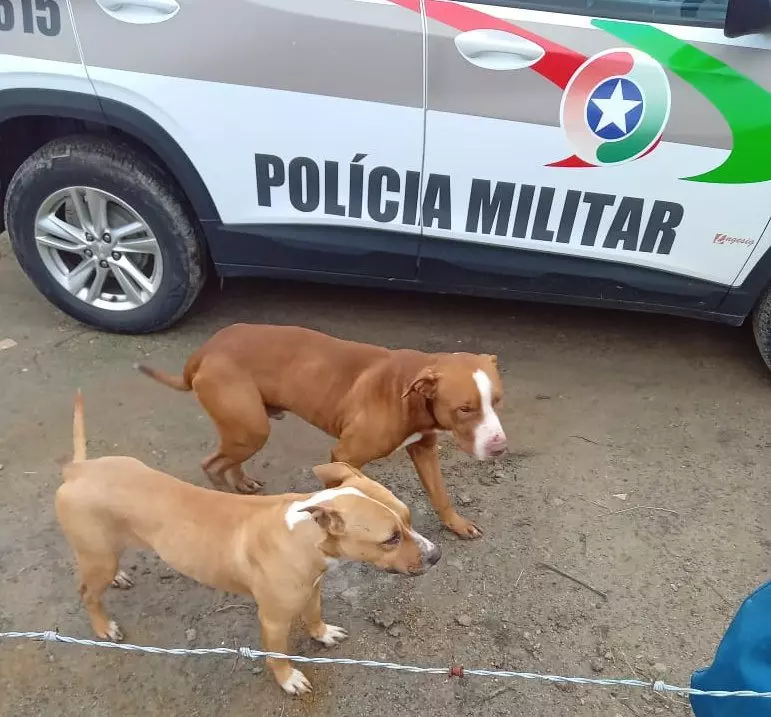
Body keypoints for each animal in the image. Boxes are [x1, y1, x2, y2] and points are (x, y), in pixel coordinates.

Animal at [54, 392, 440, 692]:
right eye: (390, 539)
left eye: (409, 518)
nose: (436, 555)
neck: (302, 533)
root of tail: (79, 469)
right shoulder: (272, 620)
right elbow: (278, 655)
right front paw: (287, 679)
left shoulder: (312, 589)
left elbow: (314, 615)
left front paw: (322, 633)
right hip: (98, 557)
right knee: (87, 592)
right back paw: (103, 625)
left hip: (103, 549)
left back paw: (118, 578)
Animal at [137, 324, 506, 536]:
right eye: (465, 408)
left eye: (497, 401)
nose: (500, 447)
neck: (411, 392)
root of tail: (204, 350)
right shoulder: (344, 455)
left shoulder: (425, 449)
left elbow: (440, 494)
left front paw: (456, 524)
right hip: (251, 428)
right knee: (213, 464)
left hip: (244, 428)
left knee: (228, 457)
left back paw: (242, 482)